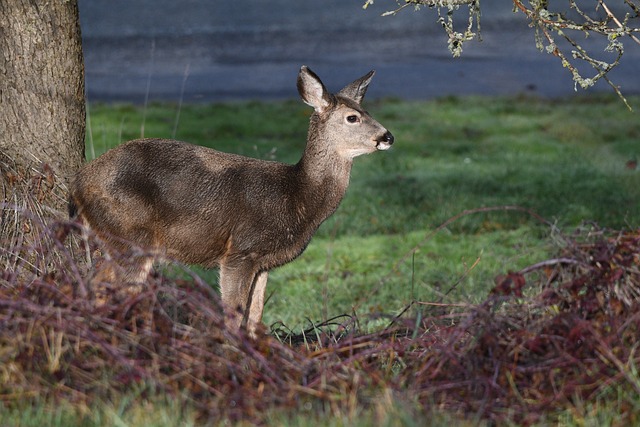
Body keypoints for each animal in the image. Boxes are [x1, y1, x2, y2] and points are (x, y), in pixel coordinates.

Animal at [67, 66, 392, 334]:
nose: (388, 136)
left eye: (365, 110)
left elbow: (255, 314)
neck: (296, 197)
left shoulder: (263, 262)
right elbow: (234, 313)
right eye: (353, 117)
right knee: (110, 289)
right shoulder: (240, 250)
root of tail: (78, 183)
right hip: (130, 234)